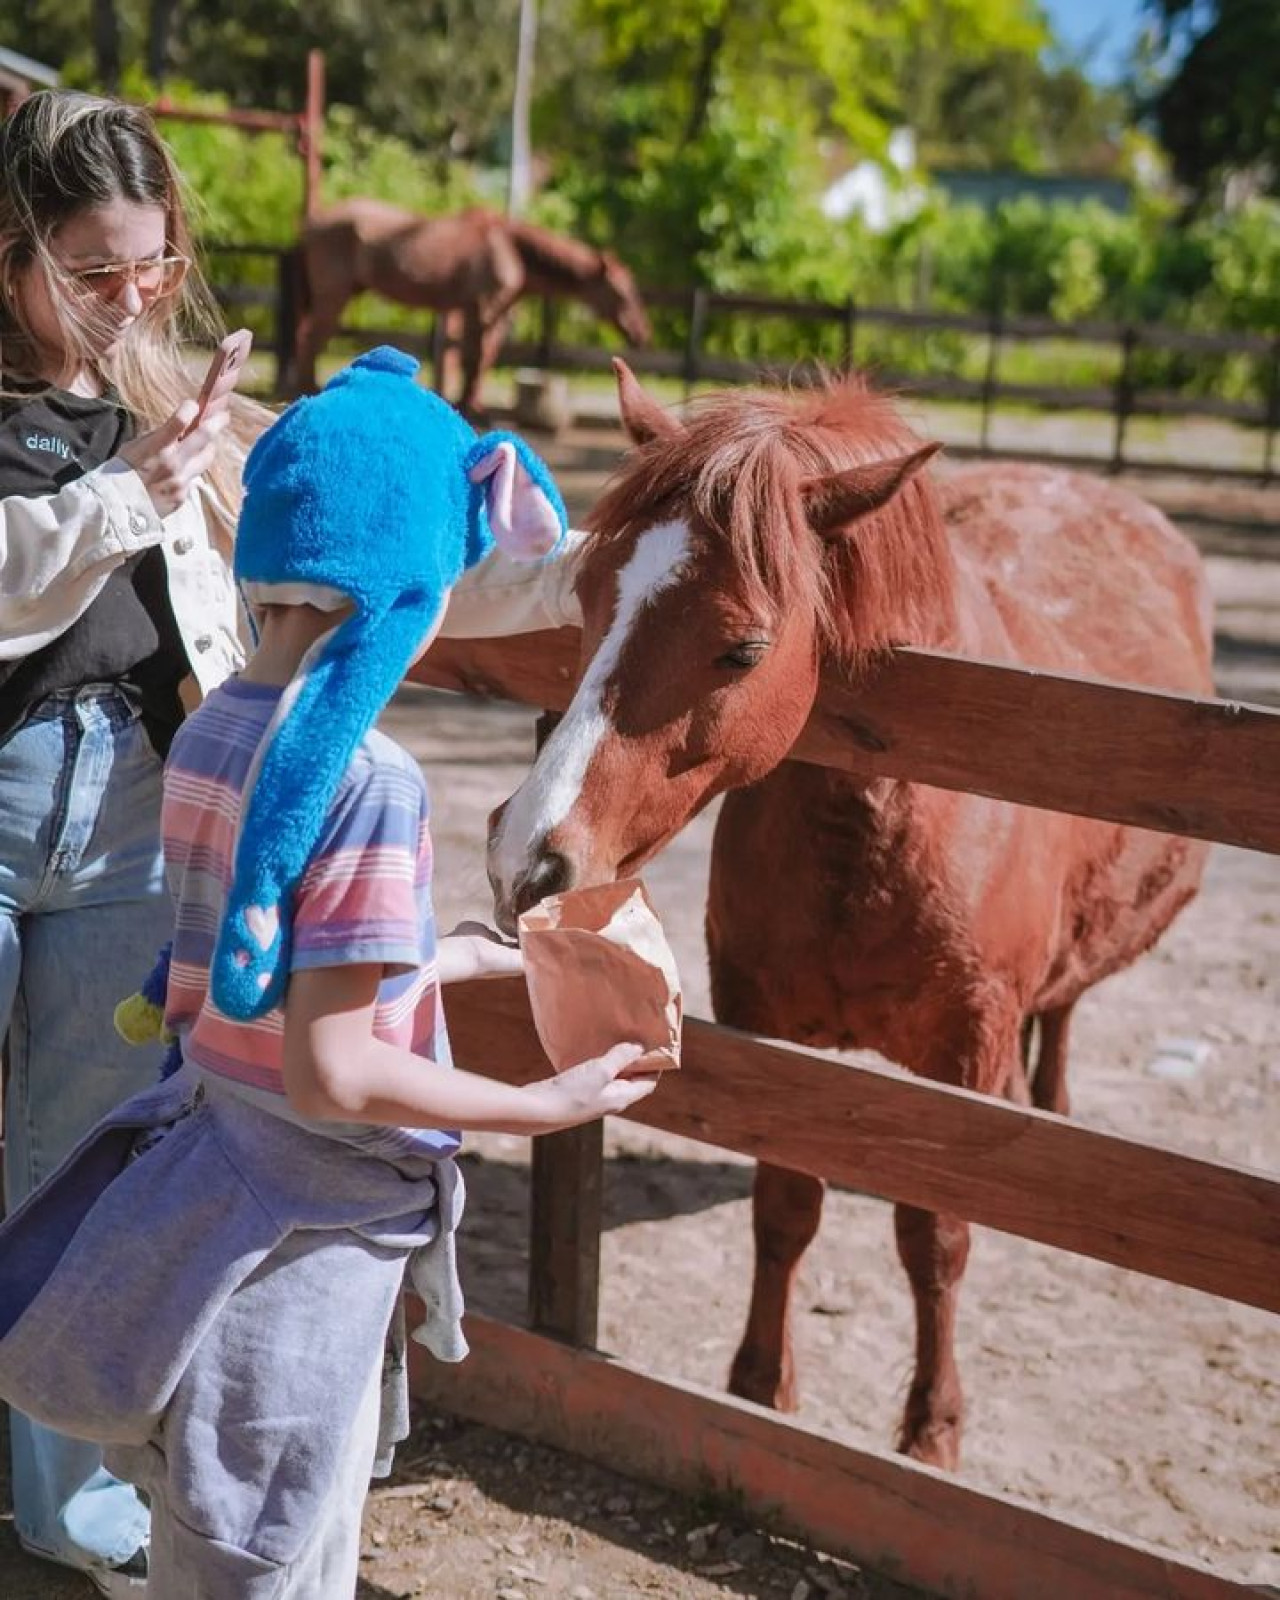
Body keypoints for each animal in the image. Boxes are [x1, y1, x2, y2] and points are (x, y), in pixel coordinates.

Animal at [289, 198, 649, 412]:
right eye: (622, 292)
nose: (642, 334)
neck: (511, 248)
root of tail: (312, 223)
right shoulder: (483, 309)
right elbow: (475, 357)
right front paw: (469, 404)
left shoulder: (482, 312)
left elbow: (480, 357)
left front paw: (471, 402)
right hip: (334, 296)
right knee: (309, 339)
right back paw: (306, 389)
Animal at [486, 363, 1209, 1472]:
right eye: (590, 599)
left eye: (742, 648)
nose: (528, 854)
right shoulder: (774, 1039)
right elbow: (786, 1205)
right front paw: (757, 1385)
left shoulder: (965, 1052)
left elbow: (935, 1237)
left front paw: (931, 1431)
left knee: (1064, 1006)